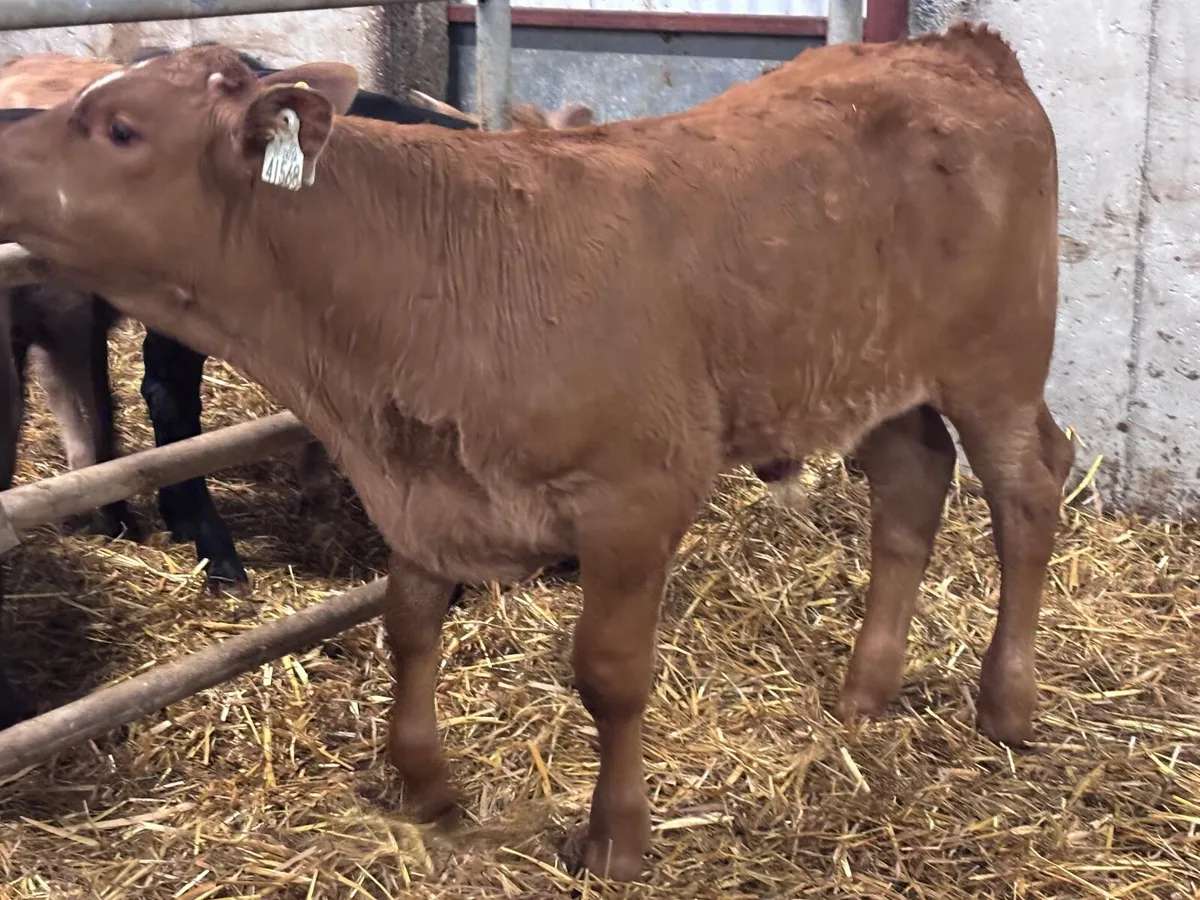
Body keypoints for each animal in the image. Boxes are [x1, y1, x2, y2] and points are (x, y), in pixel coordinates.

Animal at [0, 24, 1074, 880]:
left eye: (121, 128)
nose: (2, 144)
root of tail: (958, 45)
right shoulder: (423, 489)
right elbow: (409, 630)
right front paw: (427, 787)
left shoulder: (637, 499)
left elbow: (608, 673)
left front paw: (615, 840)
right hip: (874, 370)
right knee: (912, 482)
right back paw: (864, 690)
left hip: (999, 363)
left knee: (1029, 489)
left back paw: (1007, 703)